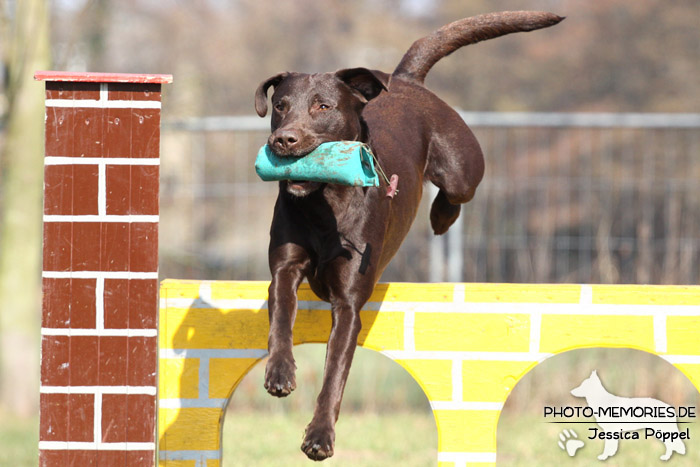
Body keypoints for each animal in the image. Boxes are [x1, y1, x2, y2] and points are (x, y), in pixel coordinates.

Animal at [254, 11, 560, 460]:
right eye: (280, 106)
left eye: (322, 106)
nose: (282, 139)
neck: (324, 204)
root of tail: (405, 79)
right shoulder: (286, 267)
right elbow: (281, 317)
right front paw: (280, 372)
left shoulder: (349, 304)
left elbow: (334, 376)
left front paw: (319, 437)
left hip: (461, 164)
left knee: (457, 191)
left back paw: (442, 216)